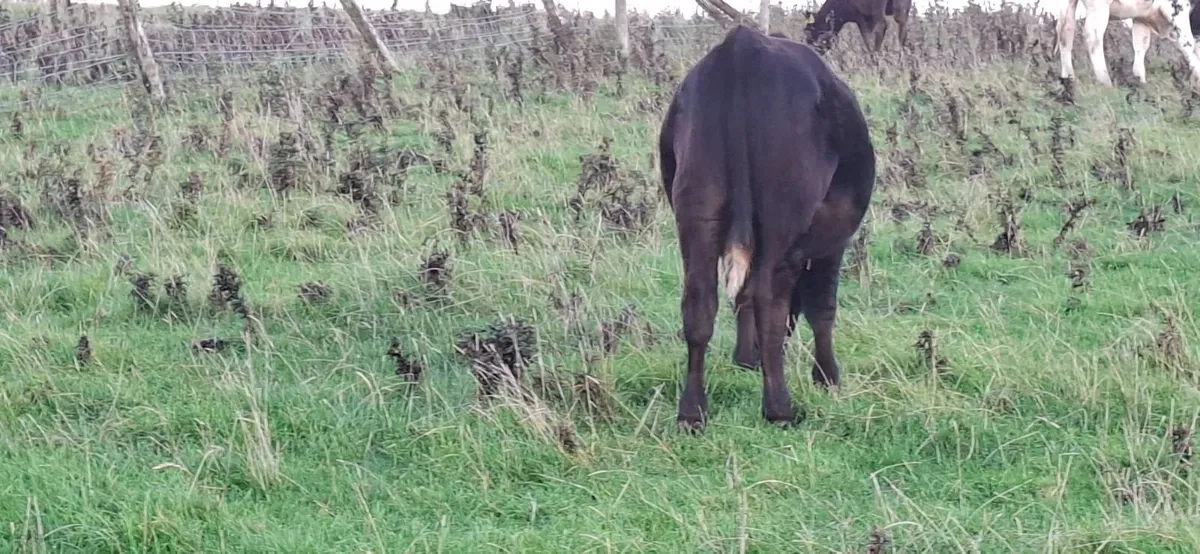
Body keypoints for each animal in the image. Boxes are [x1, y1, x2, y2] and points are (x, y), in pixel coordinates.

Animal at [657, 25, 876, 430]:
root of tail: (743, 47)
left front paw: (747, 358)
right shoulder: (833, 241)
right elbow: (821, 307)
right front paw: (827, 377)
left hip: (698, 208)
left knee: (699, 303)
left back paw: (692, 412)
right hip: (780, 214)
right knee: (767, 298)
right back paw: (779, 408)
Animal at [1057, 0, 1200, 87]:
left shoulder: (1141, 17)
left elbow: (1141, 45)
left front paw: (1140, 81)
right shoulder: (1178, 8)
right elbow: (1187, 44)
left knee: (1065, 32)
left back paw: (1069, 80)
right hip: (1099, 5)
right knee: (1092, 35)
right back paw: (1106, 83)